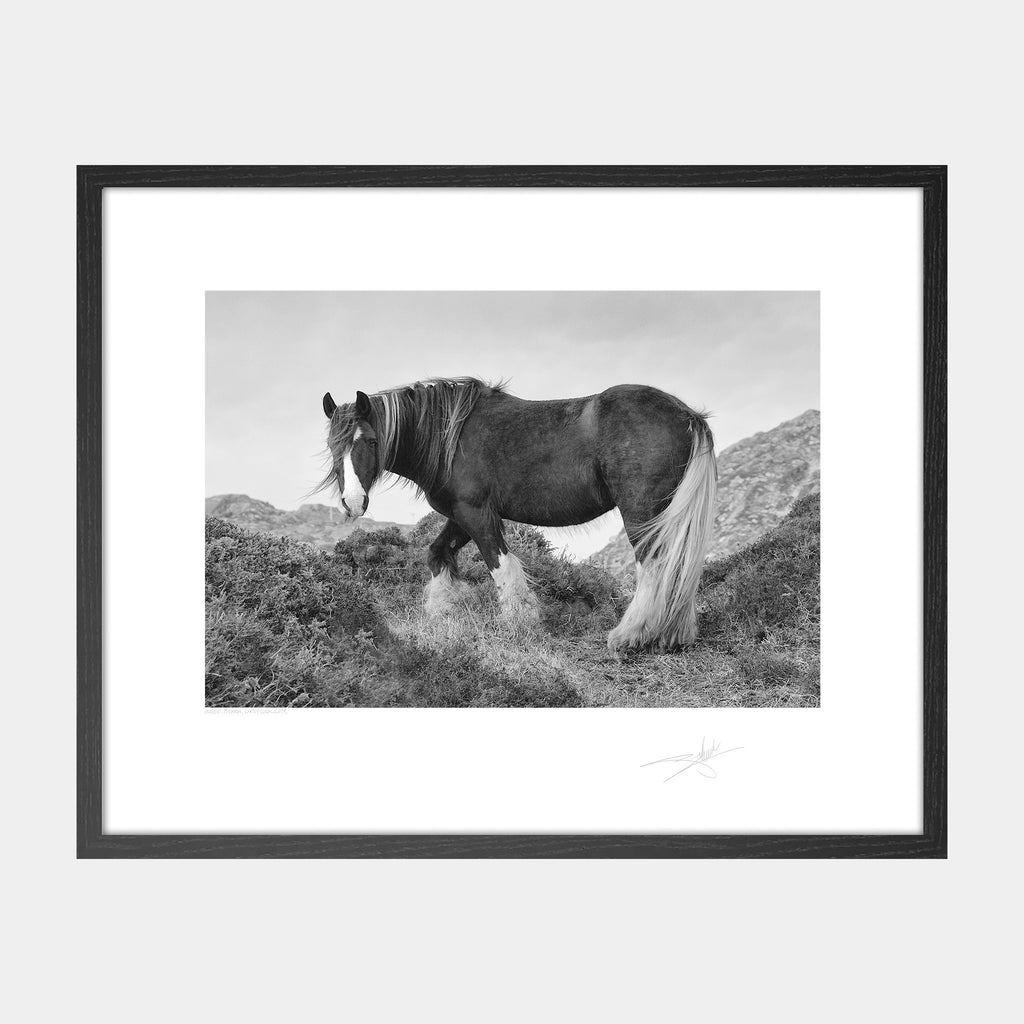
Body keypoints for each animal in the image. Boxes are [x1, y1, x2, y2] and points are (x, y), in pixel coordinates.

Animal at [317, 378, 717, 651]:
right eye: (332, 445)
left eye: (370, 441)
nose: (352, 502)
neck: (449, 437)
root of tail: (687, 415)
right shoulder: (461, 516)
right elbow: (437, 554)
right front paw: (442, 612)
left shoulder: (477, 513)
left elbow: (501, 565)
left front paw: (520, 624)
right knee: (676, 568)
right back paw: (673, 634)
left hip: (641, 512)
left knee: (654, 565)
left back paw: (630, 635)